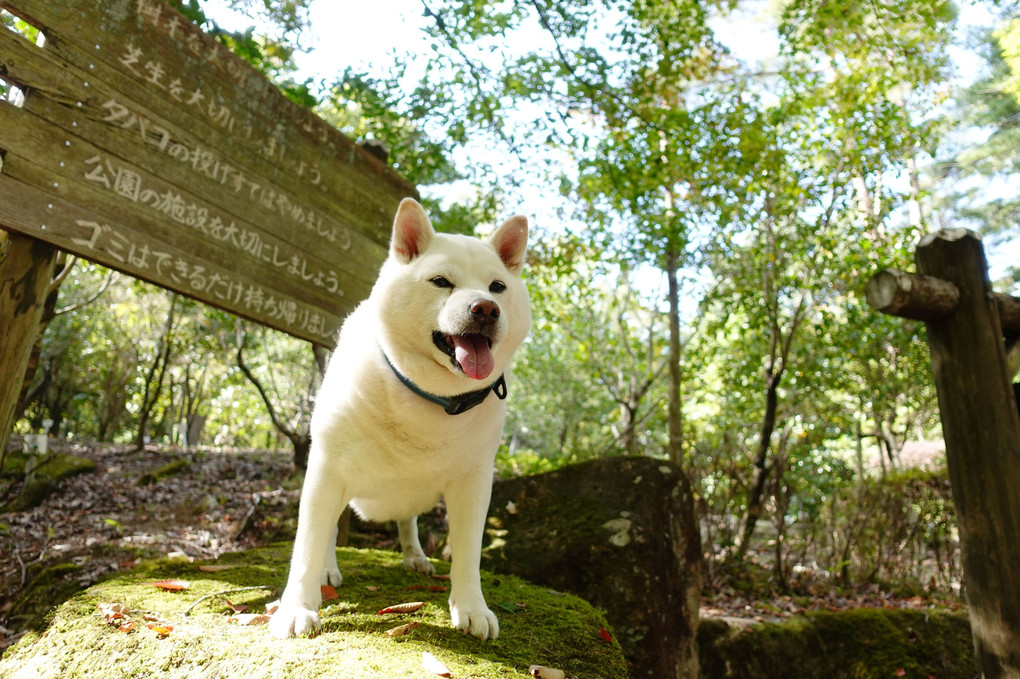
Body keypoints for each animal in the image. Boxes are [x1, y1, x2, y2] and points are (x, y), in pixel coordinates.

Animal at [267, 196, 530, 640]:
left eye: (498, 287)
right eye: (441, 282)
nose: (486, 309)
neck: (431, 397)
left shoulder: (474, 484)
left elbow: (469, 554)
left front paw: (471, 607)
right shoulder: (326, 469)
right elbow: (308, 544)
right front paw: (298, 606)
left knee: (407, 521)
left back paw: (414, 555)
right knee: (331, 531)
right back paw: (329, 569)